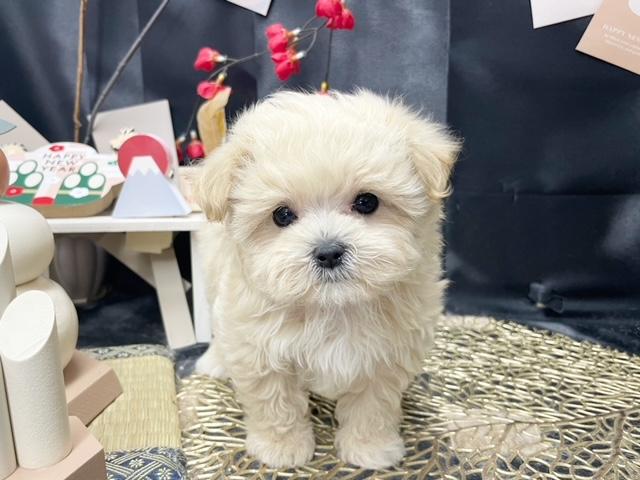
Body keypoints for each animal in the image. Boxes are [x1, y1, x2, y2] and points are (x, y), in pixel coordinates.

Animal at [194, 90, 460, 469]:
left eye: (367, 202)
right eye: (281, 215)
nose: (329, 252)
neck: (332, 306)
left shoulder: (386, 357)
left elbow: (374, 406)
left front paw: (370, 448)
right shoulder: (259, 348)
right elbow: (275, 403)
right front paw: (282, 447)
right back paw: (215, 361)